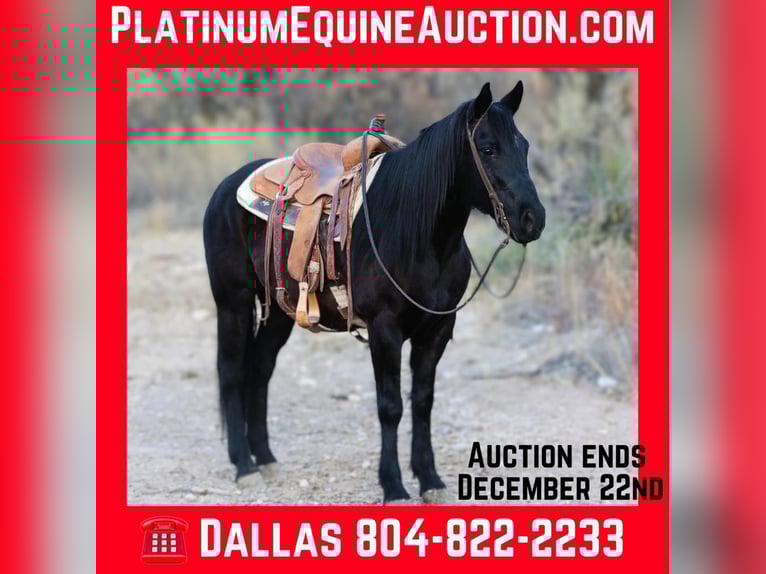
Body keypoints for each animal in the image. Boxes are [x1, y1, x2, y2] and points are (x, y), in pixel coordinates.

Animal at [203, 81, 546, 503]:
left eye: (524, 146)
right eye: (488, 148)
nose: (533, 219)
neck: (419, 233)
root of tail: (226, 188)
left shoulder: (437, 330)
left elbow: (423, 401)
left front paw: (430, 480)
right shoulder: (385, 329)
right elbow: (391, 406)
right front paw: (394, 485)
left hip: (282, 311)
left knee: (260, 367)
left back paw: (264, 458)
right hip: (232, 302)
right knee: (232, 371)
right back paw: (244, 467)